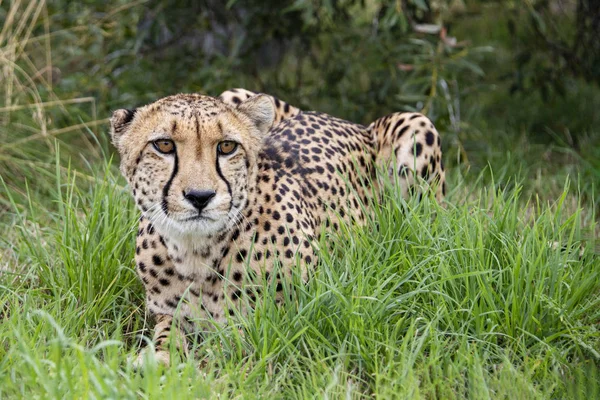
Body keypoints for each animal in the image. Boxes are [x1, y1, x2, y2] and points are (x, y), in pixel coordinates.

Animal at [109, 87, 446, 366]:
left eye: (227, 146)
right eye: (164, 145)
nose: (200, 196)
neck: (197, 252)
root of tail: (347, 121)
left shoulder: (292, 314)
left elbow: (232, 344)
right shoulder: (167, 313)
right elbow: (168, 334)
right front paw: (155, 359)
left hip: (416, 127)